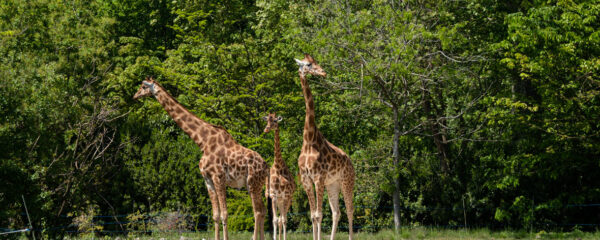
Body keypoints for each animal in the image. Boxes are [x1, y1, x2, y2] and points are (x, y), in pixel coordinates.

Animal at [136, 77, 270, 240]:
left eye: (143, 87)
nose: (135, 96)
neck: (202, 141)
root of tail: (266, 166)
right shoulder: (207, 179)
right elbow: (215, 215)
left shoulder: (218, 177)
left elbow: (225, 214)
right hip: (255, 185)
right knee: (263, 210)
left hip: (252, 183)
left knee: (257, 211)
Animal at [292, 54, 354, 240]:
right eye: (308, 64)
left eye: (316, 62)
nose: (323, 72)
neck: (309, 141)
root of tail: (351, 163)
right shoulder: (306, 180)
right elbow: (313, 215)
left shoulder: (318, 178)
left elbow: (319, 215)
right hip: (333, 184)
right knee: (337, 212)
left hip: (347, 181)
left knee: (350, 211)